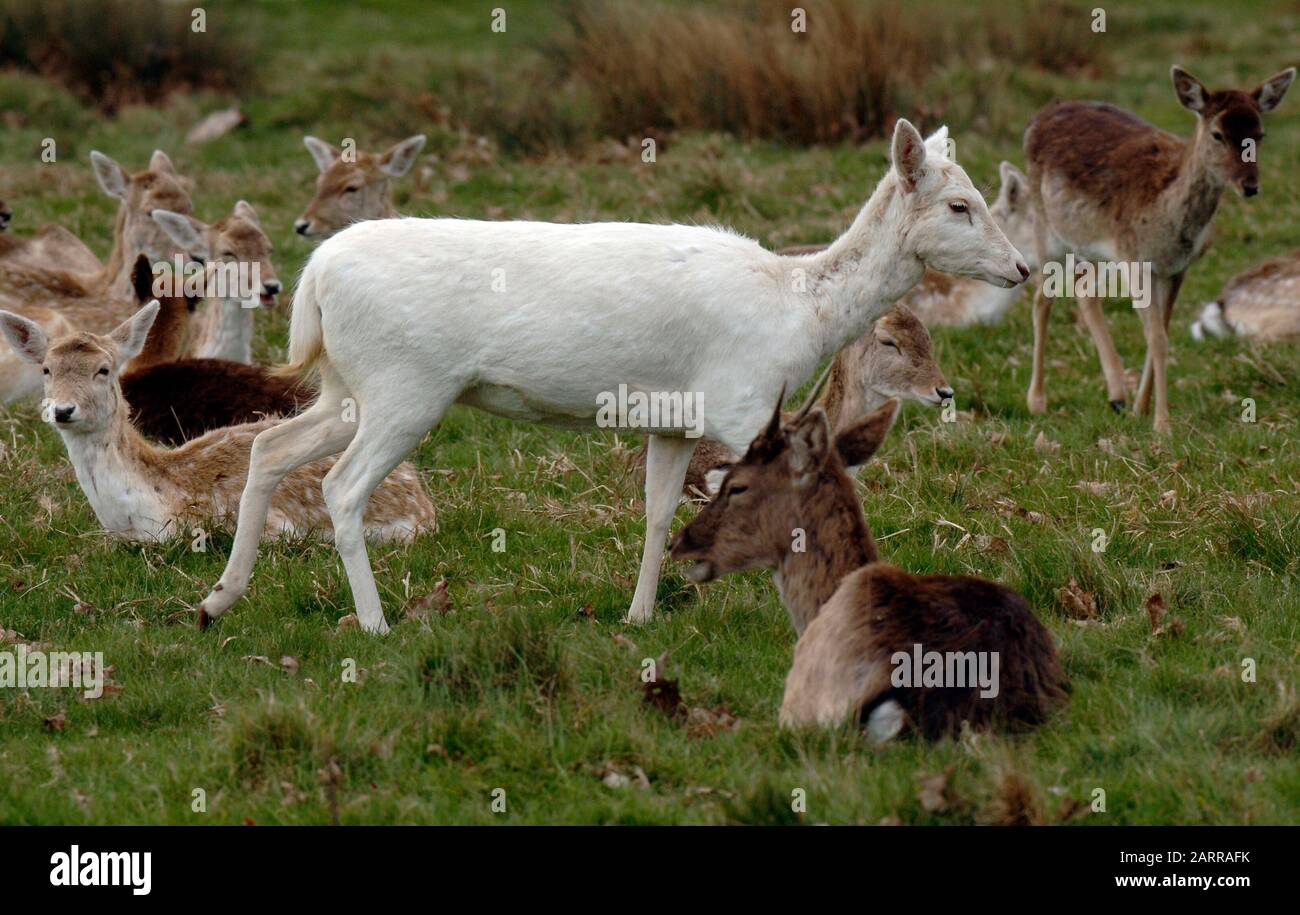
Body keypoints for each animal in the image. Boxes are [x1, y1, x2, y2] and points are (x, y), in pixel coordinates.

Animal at [1024, 66, 1289, 431]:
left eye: (1260, 134)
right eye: (1218, 134)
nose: (1250, 185)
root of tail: (1039, 117)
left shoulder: (1176, 268)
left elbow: (1159, 332)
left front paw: (1141, 408)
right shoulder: (1138, 262)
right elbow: (1158, 339)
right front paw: (1162, 423)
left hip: (1097, 249)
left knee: (1084, 289)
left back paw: (1117, 395)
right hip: (1046, 226)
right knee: (1042, 297)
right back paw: (1037, 400)